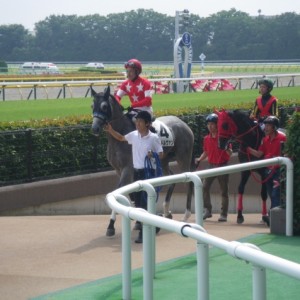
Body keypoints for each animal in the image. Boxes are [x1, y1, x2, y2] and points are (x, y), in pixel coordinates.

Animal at [91, 85, 195, 236]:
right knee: (170, 177)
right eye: (92, 105)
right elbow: (133, 193)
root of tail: (184, 124)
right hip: (163, 159)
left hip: (183, 157)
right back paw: (166, 211)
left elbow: (120, 191)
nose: (95, 128)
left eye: (104, 106)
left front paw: (111, 225)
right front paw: (137, 219)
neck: (120, 137)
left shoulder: (127, 168)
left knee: (189, 180)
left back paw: (186, 214)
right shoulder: (120, 170)